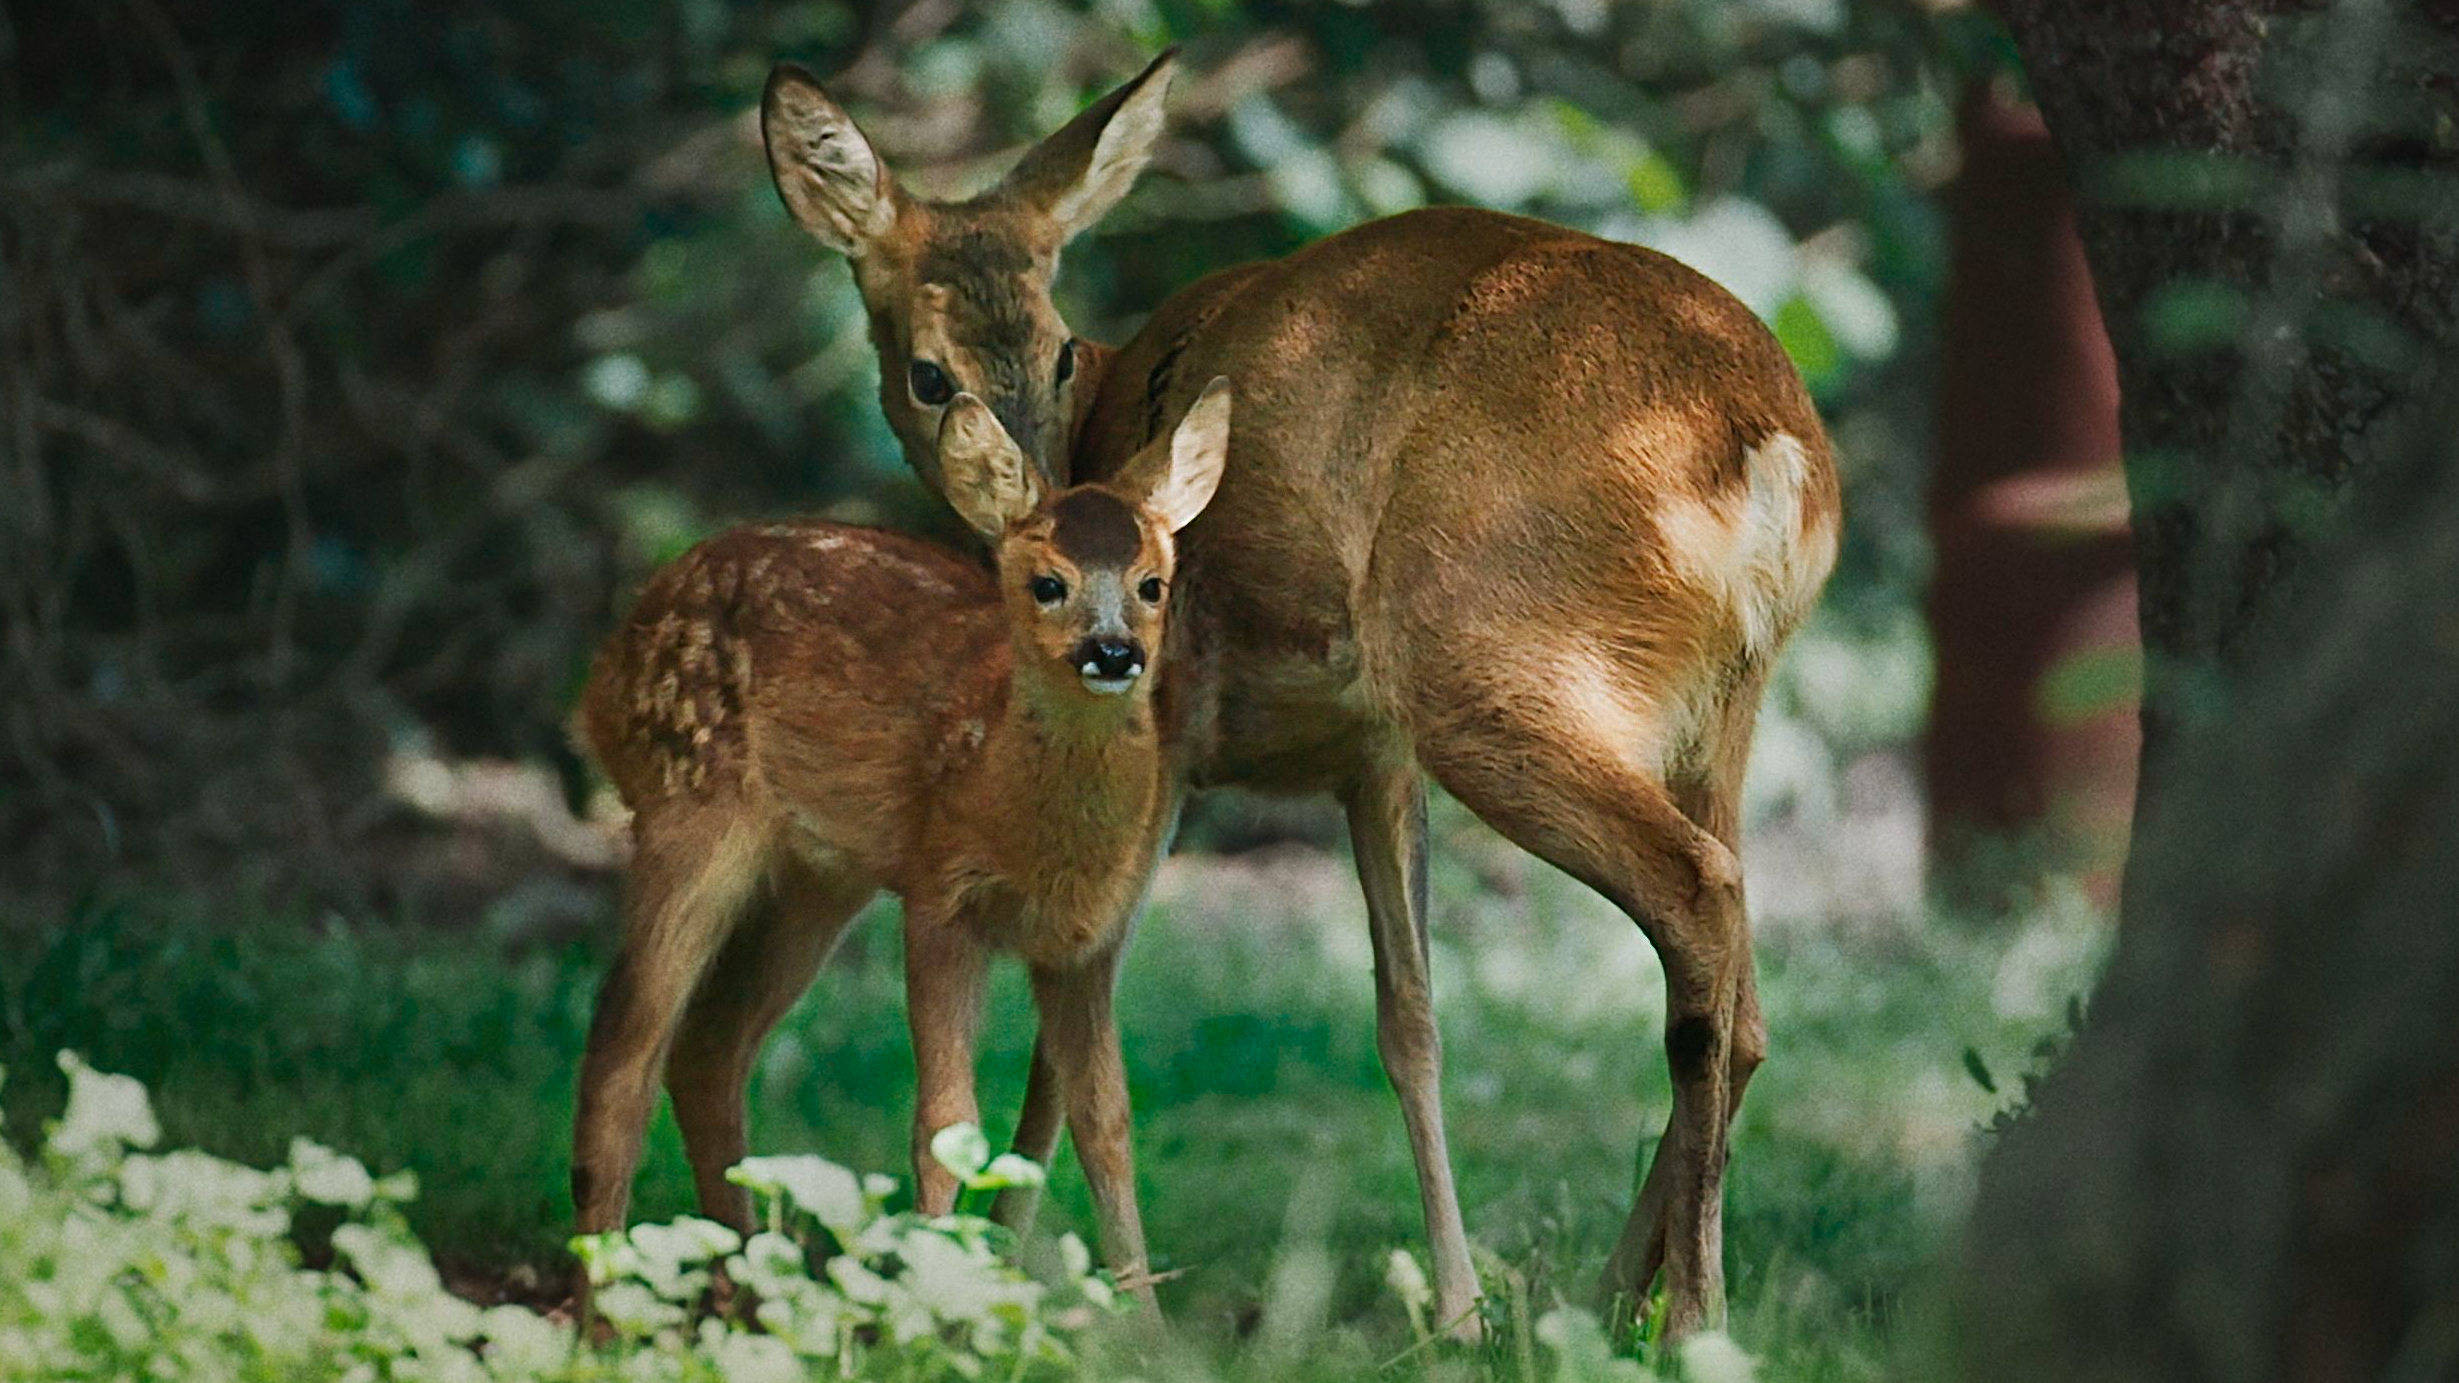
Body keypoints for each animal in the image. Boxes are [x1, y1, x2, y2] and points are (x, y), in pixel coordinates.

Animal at [568, 376, 1239, 1289]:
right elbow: (946, 1123)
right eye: (1046, 582)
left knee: (707, 1049)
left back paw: (741, 1286)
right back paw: (601, 1304)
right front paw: (932, 1290)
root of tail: (600, 677)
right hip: (686, 808)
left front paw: (1140, 1314)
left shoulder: (1088, 942)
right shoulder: (939, 893)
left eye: (1151, 584)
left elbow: (1106, 1125)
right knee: (621, 1053)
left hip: (816, 880)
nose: (1112, 651)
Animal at [757, 51, 1839, 1338]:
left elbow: (1079, 1027)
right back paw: (1599, 1300)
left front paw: (1055, 1294)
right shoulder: (1371, 755)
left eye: (1059, 350)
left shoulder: (1173, 724)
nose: (1034, 503)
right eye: (928, 373)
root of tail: (1764, 446)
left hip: (1491, 663)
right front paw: (1456, 1312)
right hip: (1712, 708)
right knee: (1747, 999)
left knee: (1697, 897)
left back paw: (1689, 1321)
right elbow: (1406, 1014)